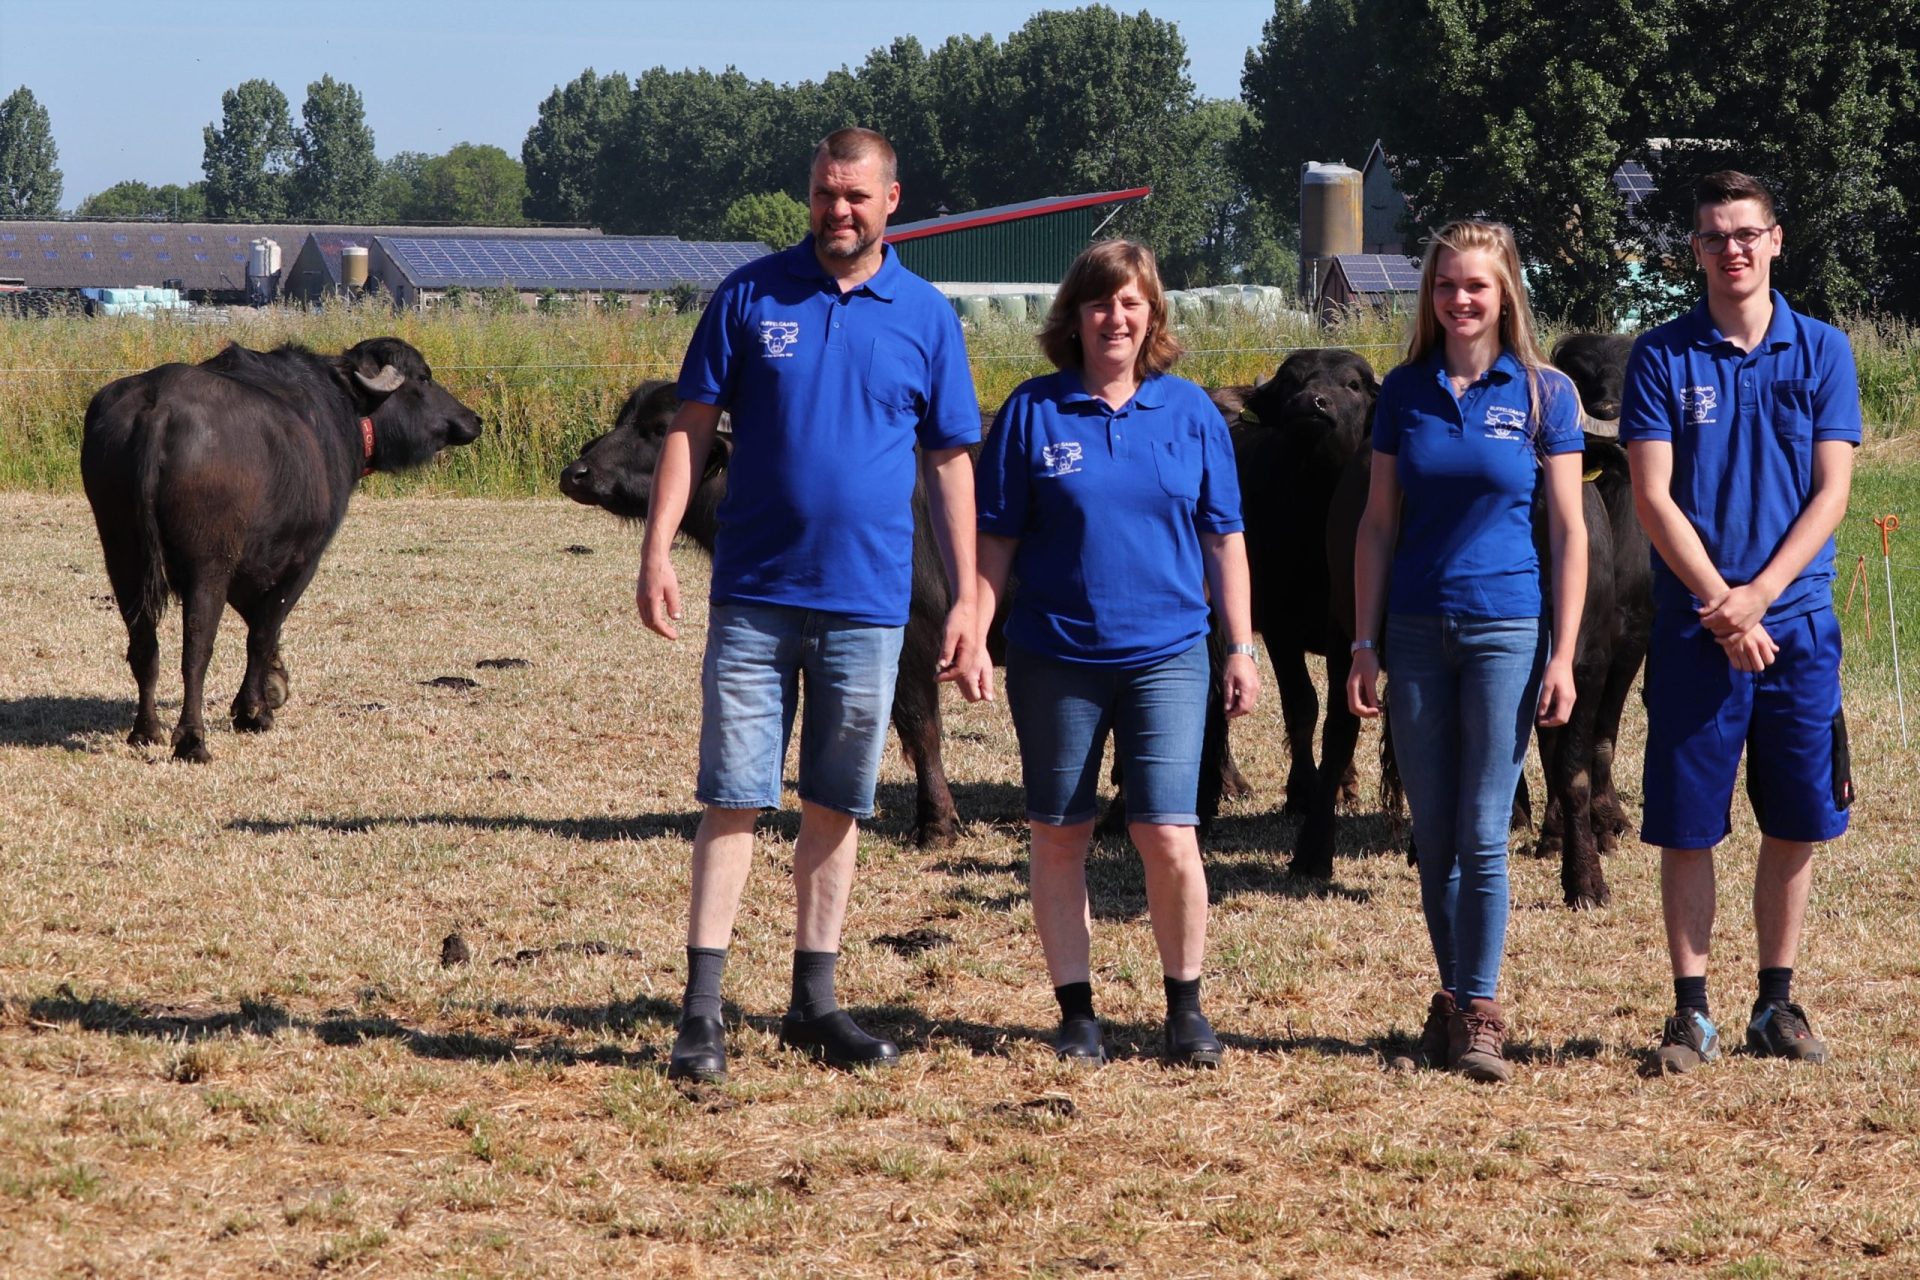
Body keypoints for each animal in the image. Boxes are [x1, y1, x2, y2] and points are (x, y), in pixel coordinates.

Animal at [84, 339, 480, 759]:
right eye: (423, 378)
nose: (473, 420)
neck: (343, 405)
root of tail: (158, 407)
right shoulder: (303, 561)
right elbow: (263, 629)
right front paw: (254, 711)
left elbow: (258, 622)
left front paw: (273, 684)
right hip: (208, 564)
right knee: (196, 648)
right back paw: (193, 740)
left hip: (123, 557)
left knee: (144, 645)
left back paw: (145, 730)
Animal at [560, 379, 990, 852]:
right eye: (624, 419)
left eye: (658, 428)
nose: (576, 473)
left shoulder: (915, 634)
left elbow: (920, 728)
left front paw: (936, 824)